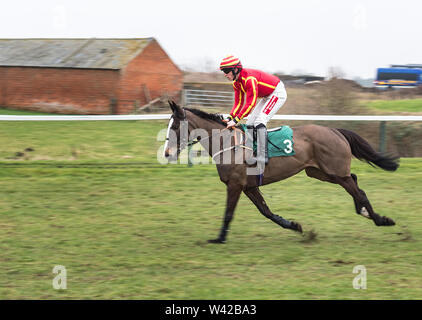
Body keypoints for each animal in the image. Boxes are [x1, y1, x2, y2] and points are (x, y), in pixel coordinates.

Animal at [164, 101, 398, 244]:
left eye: (175, 126)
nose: (166, 153)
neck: (228, 143)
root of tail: (334, 130)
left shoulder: (235, 184)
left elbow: (229, 213)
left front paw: (219, 238)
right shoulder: (249, 186)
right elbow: (266, 211)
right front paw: (294, 225)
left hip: (334, 172)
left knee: (360, 192)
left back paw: (380, 219)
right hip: (321, 172)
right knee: (355, 181)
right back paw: (365, 212)